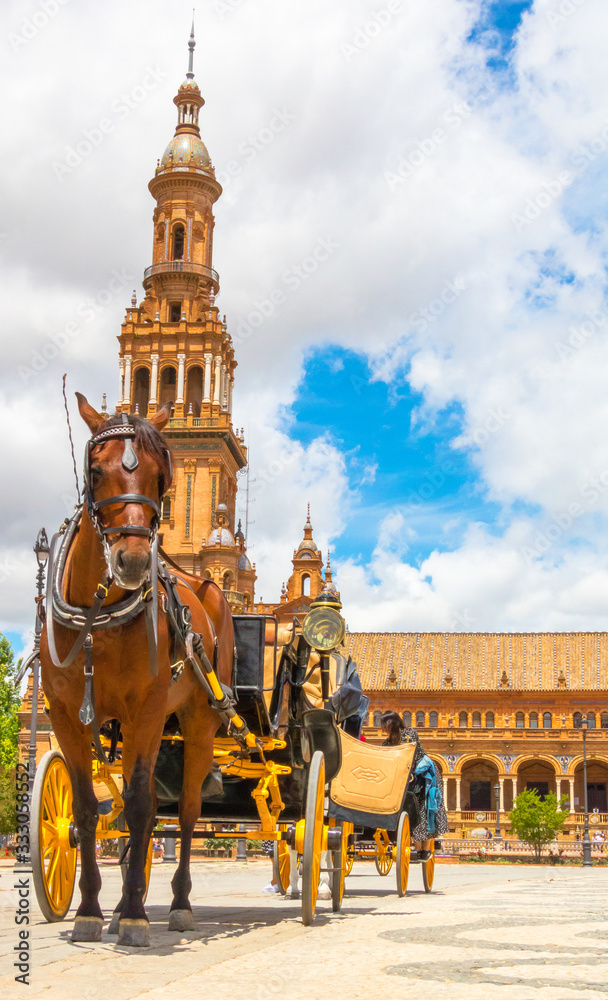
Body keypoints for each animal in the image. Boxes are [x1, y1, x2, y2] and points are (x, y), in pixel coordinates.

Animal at [40, 394, 234, 947]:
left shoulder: (146, 710)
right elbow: (89, 809)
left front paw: (132, 916)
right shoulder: (65, 716)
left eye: (160, 477)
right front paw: (89, 911)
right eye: (95, 471)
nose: (131, 560)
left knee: (185, 811)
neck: (95, 616)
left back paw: (178, 903)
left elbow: (144, 805)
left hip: (198, 722)